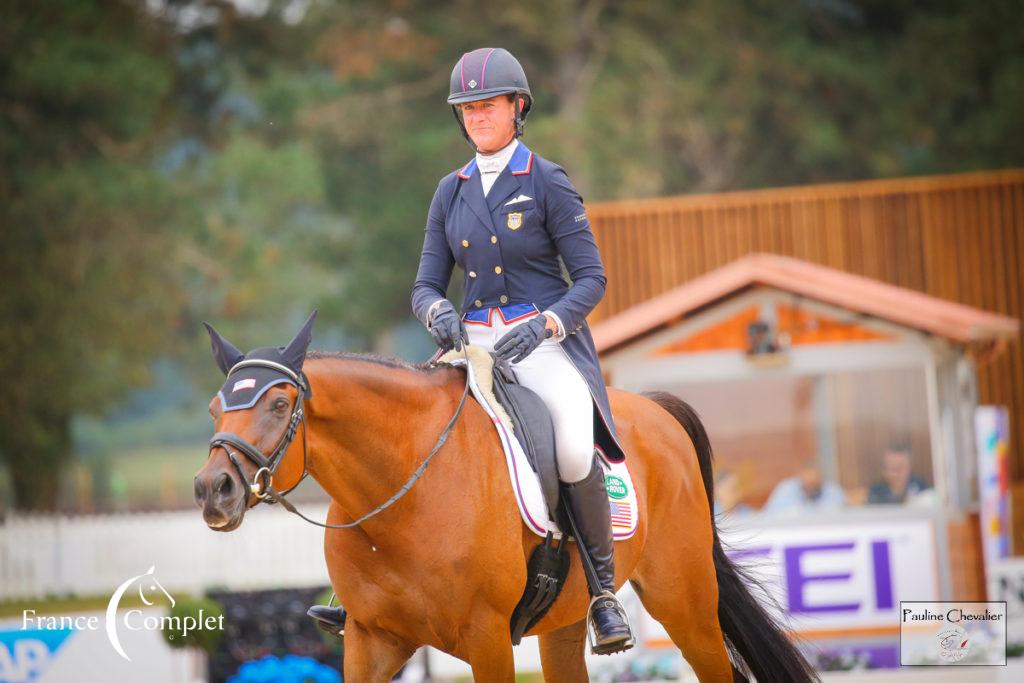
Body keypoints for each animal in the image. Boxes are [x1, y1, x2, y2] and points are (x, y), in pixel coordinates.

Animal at [193, 317, 815, 683]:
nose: (212, 490)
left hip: (684, 603)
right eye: (215, 408)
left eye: (279, 405)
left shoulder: (486, 638)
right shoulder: (371, 641)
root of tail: (656, 408)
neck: (402, 494)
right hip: (566, 622)